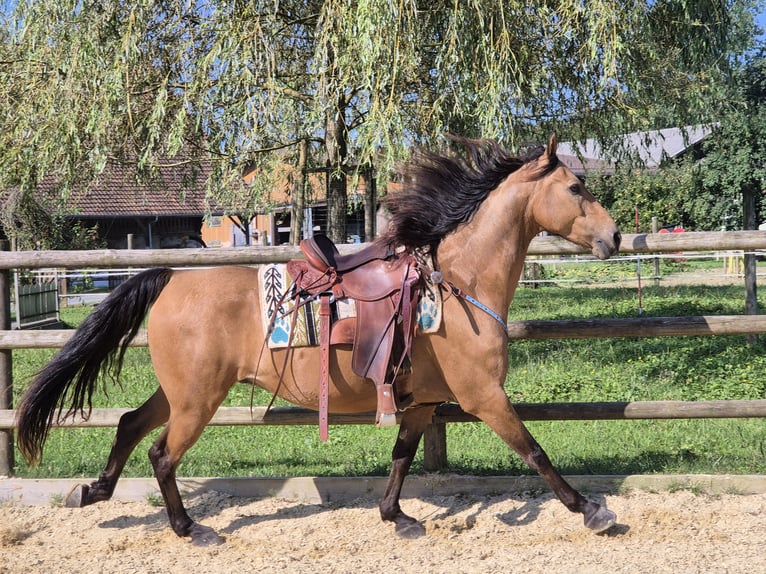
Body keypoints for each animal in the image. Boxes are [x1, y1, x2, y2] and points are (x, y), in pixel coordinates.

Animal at [15, 133, 624, 548]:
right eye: (575, 187)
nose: (615, 236)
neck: (458, 286)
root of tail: (170, 279)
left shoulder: (420, 403)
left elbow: (401, 457)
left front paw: (396, 517)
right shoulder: (484, 396)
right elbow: (535, 451)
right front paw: (591, 510)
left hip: (180, 392)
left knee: (127, 424)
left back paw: (93, 491)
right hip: (198, 400)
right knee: (162, 453)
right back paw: (190, 527)